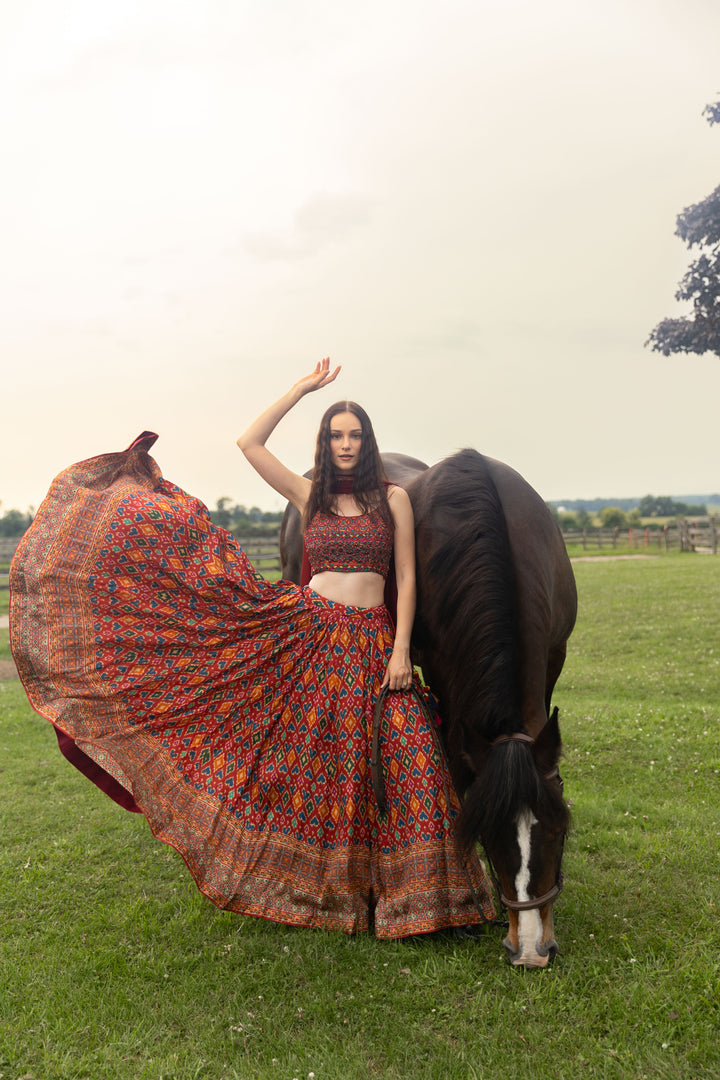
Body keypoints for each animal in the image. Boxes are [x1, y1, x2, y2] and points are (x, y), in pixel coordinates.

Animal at [278, 442, 578, 967]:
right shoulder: (443, 674)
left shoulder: (553, 658)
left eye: (559, 831)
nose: (530, 952)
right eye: (486, 834)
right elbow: (456, 771)